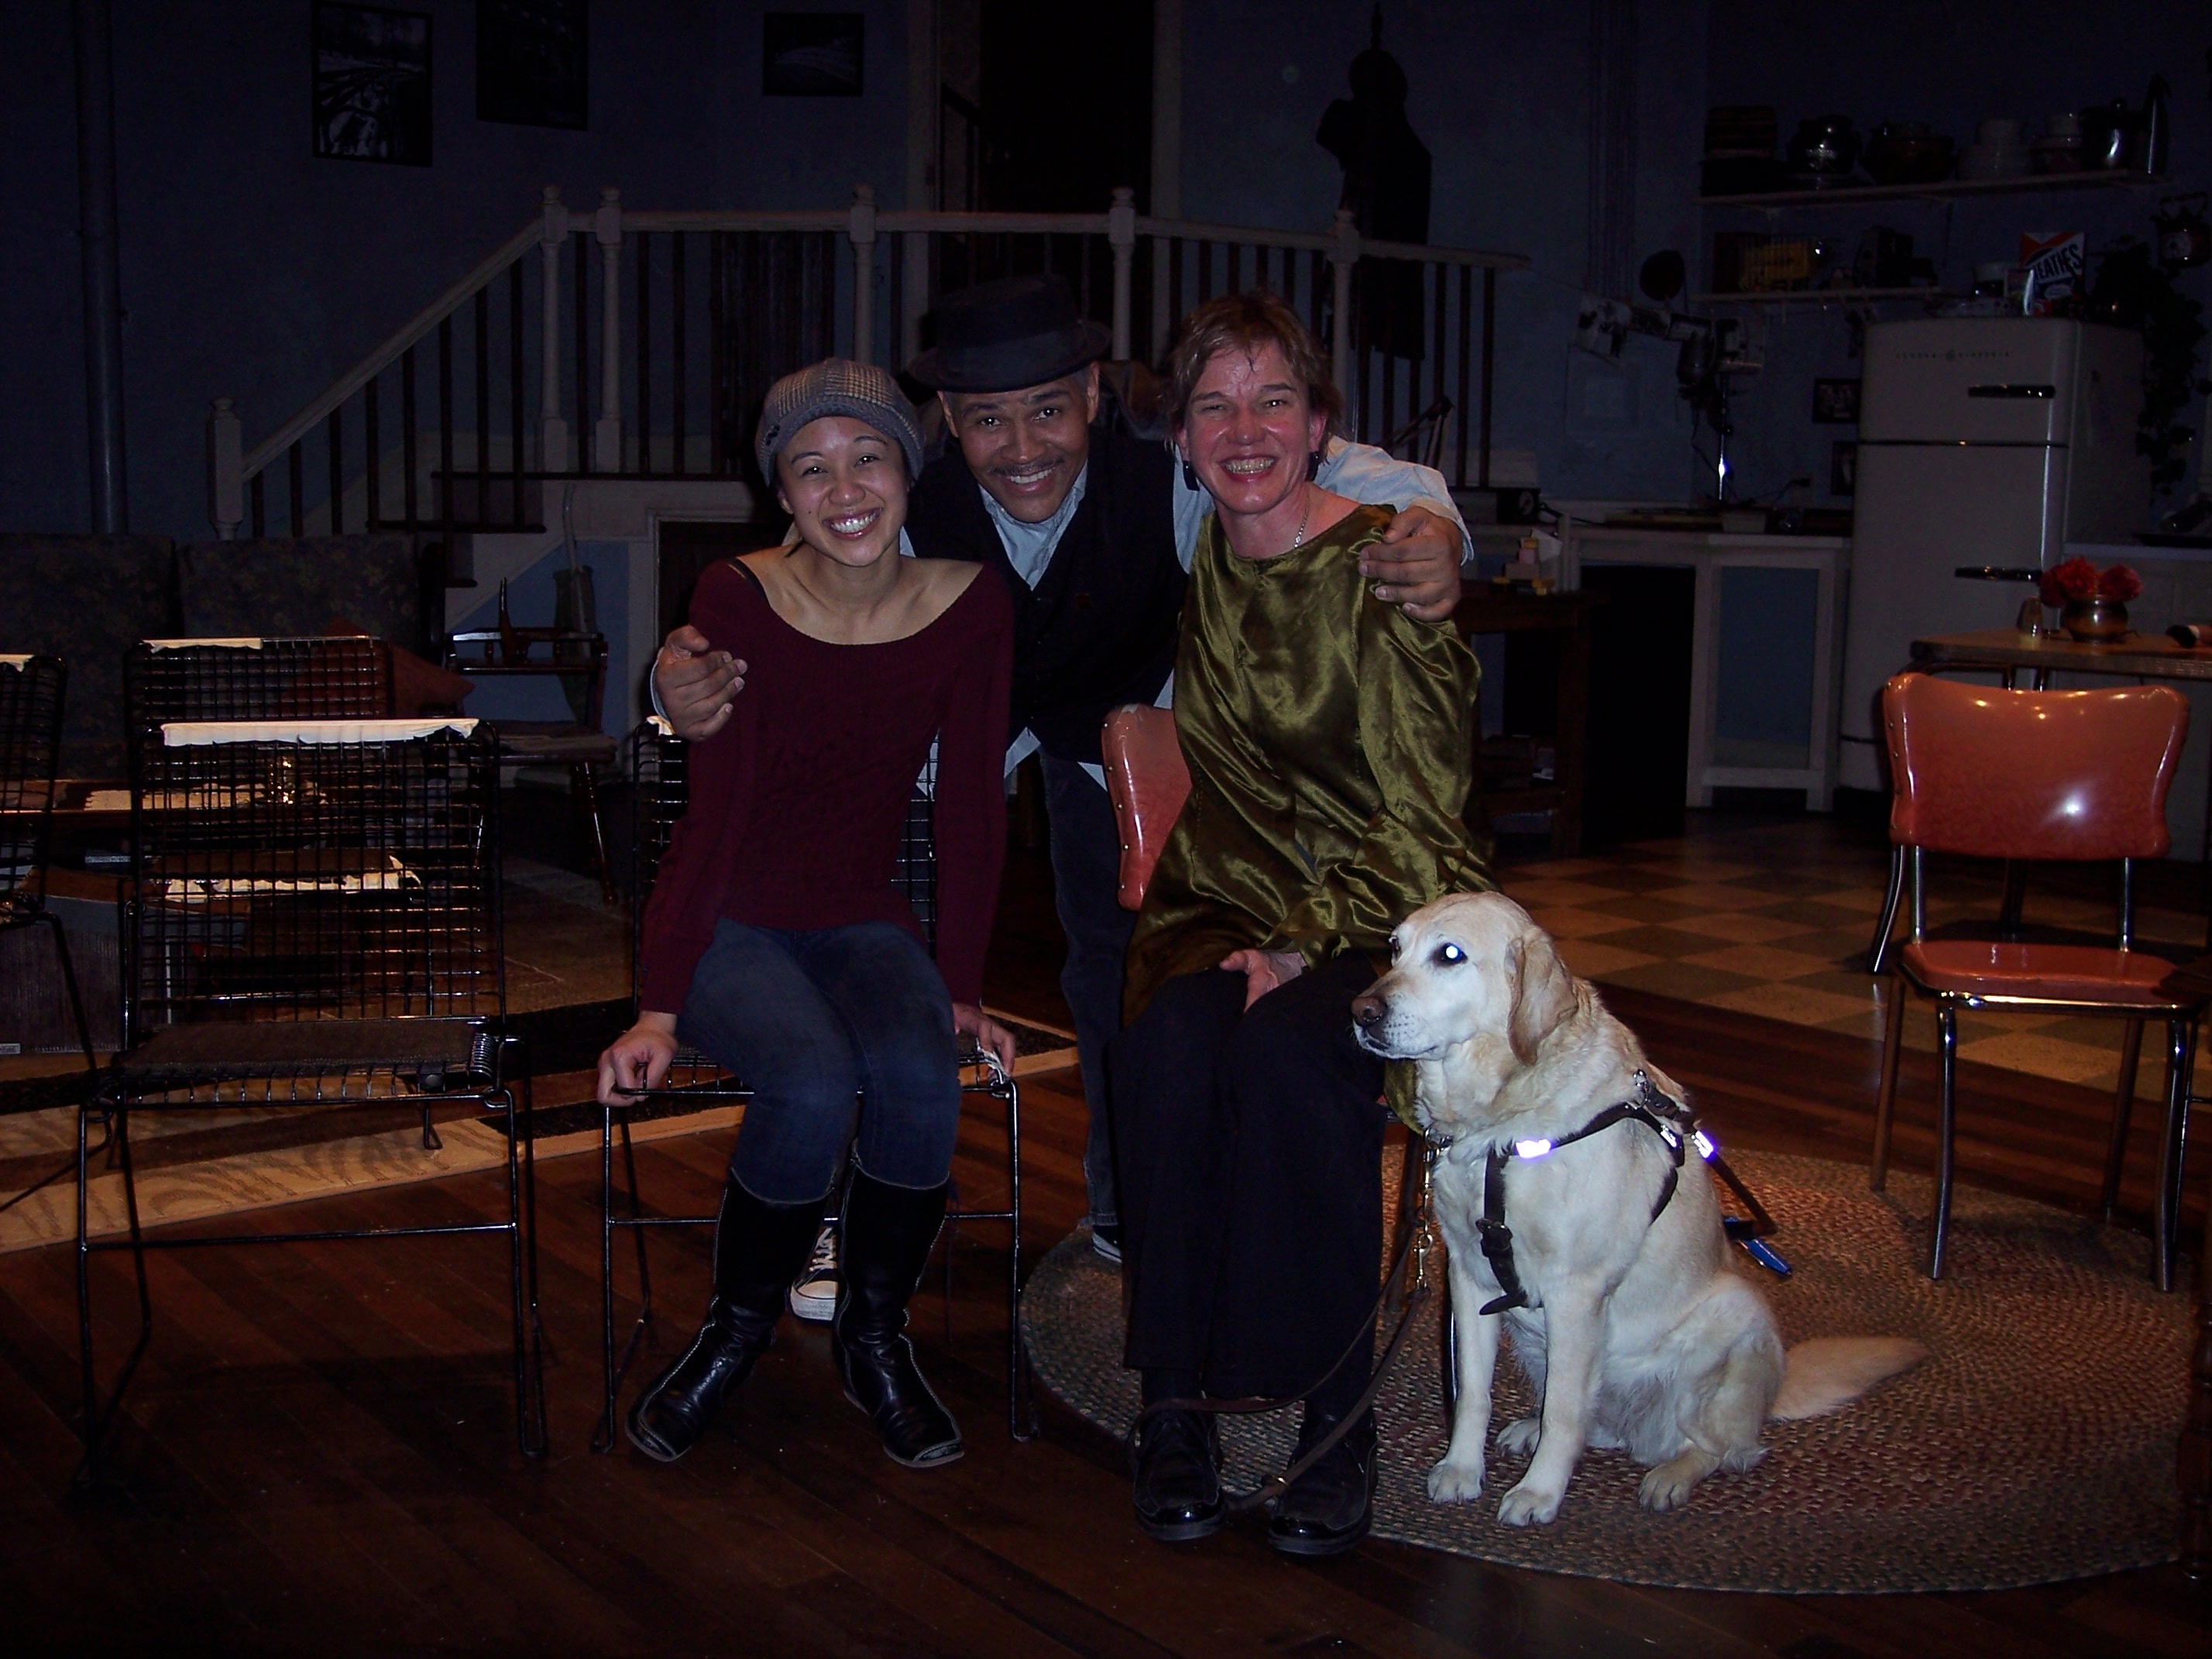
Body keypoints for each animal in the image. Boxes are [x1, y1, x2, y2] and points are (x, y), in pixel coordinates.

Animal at [1345, 898, 1920, 1530]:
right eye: (1395, 947)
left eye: (1450, 954)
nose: (1361, 1011)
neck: (1499, 1125)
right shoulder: (1468, 1278)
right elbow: (1474, 1392)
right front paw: (1461, 1470)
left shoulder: (1576, 1291)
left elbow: (1565, 1412)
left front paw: (1539, 1494)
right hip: (1540, 1343)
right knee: (1601, 1424)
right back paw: (1533, 1432)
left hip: (1736, 1314)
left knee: (1720, 1447)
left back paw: (1670, 1477)